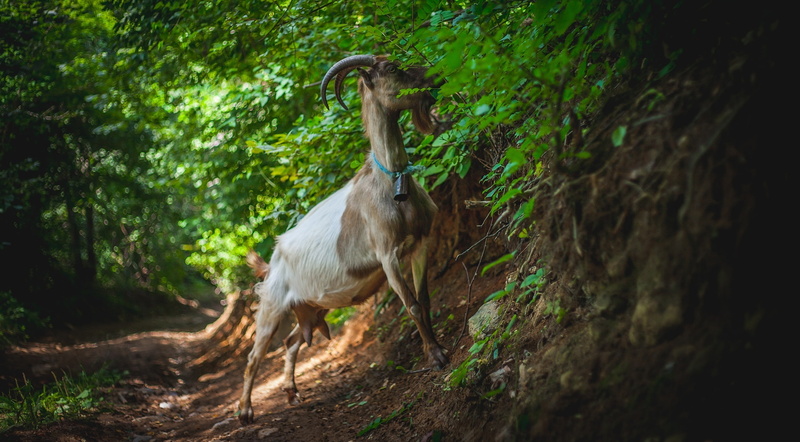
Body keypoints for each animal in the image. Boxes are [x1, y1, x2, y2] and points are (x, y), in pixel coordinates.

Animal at [237, 54, 449, 424]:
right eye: (392, 69)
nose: (435, 75)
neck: (391, 183)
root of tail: (271, 261)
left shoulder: (421, 243)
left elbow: (424, 300)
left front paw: (436, 348)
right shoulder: (388, 255)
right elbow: (411, 305)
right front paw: (435, 357)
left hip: (312, 309)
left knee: (292, 342)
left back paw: (291, 392)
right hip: (272, 305)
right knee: (254, 355)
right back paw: (246, 411)